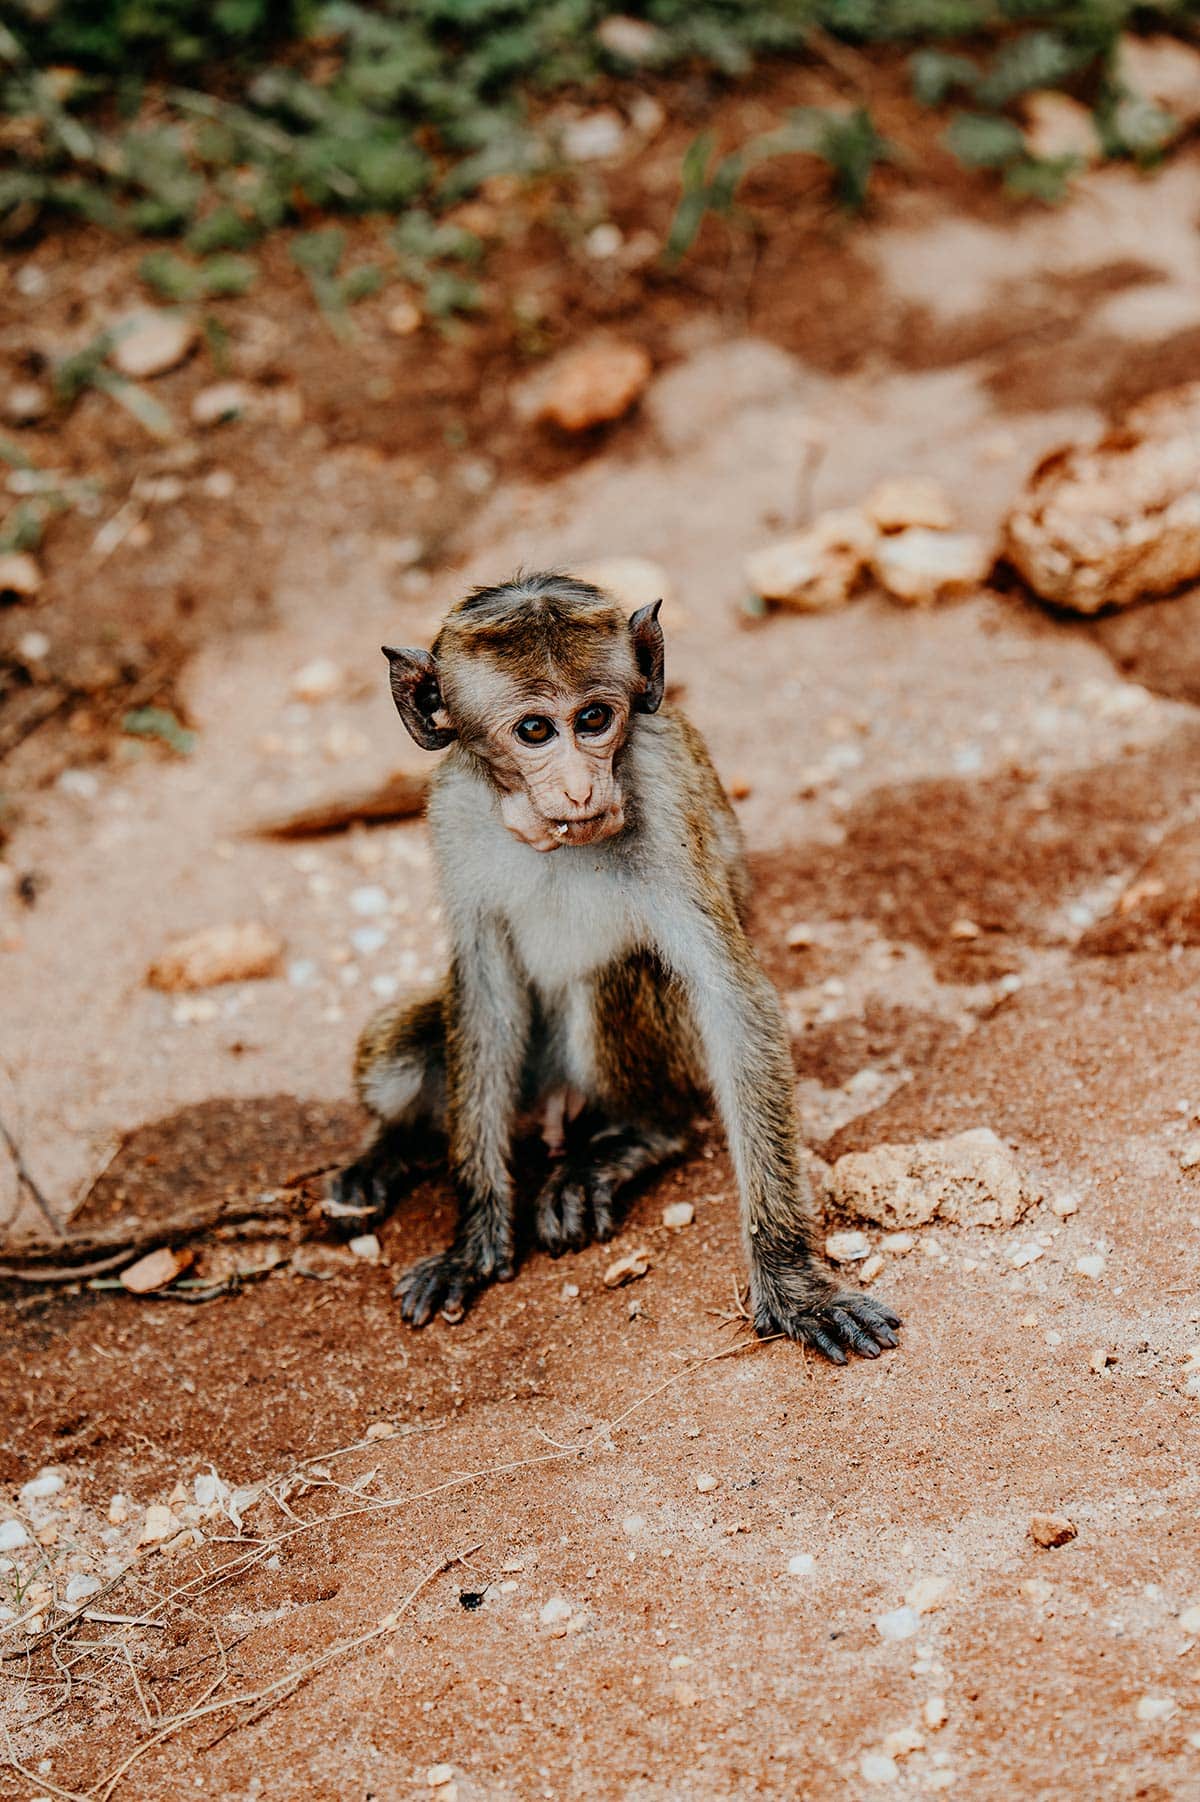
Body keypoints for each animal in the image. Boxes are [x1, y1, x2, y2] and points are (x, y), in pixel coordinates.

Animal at [324, 571, 900, 1364]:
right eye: (536, 732)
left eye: (595, 718)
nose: (579, 788)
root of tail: (555, 1105)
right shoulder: (451, 811)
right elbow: (483, 993)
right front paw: (474, 1236)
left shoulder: (662, 797)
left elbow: (730, 997)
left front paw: (792, 1283)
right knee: (399, 1049)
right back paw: (391, 1150)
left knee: (625, 975)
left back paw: (630, 1139)